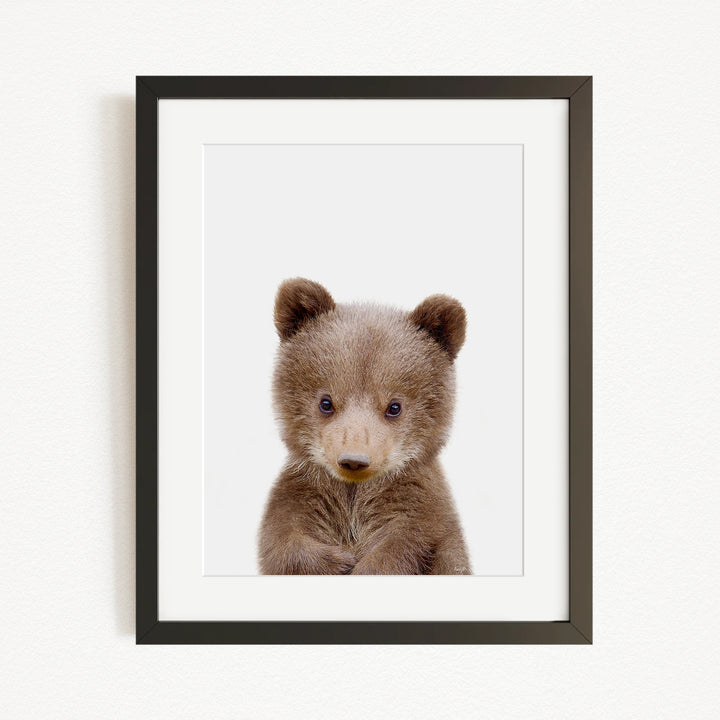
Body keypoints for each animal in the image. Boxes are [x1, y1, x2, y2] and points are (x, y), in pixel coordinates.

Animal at [257, 277, 472, 575]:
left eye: (394, 406)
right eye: (326, 402)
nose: (354, 460)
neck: (353, 494)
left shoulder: (418, 509)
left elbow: (406, 545)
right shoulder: (304, 494)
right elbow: (282, 540)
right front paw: (339, 561)